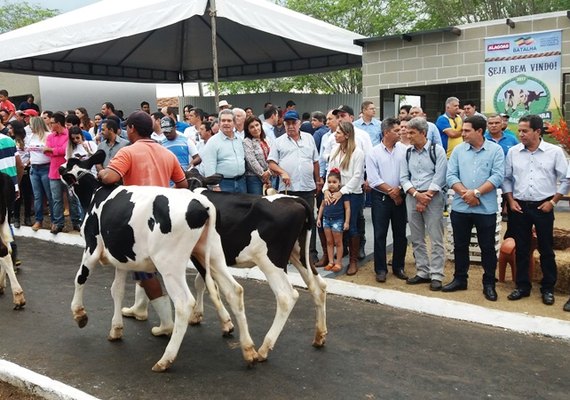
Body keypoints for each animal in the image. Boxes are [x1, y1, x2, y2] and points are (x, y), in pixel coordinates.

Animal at [59, 153, 255, 372]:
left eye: (66, 166)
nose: (58, 169)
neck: (95, 194)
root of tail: (201, 204)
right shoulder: (121, 258)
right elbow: (116, 290)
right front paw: (116, 329)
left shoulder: (91, 249)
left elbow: (80, 278)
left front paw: (79, 314)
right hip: (212, 255)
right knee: (234, 291)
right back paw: (249, 352)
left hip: (170, 264)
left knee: (184, 303)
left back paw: (165, 359)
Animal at [186, 170, 328, 360]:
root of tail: (295, 200)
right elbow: (202, 283)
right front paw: (198, 315)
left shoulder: (197, 255)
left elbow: (207, 286)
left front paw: (224, 324)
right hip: (299, 254)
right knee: (319, 287)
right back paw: (319, 336)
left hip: (271, 262)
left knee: (286, 297)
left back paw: (263, 349)